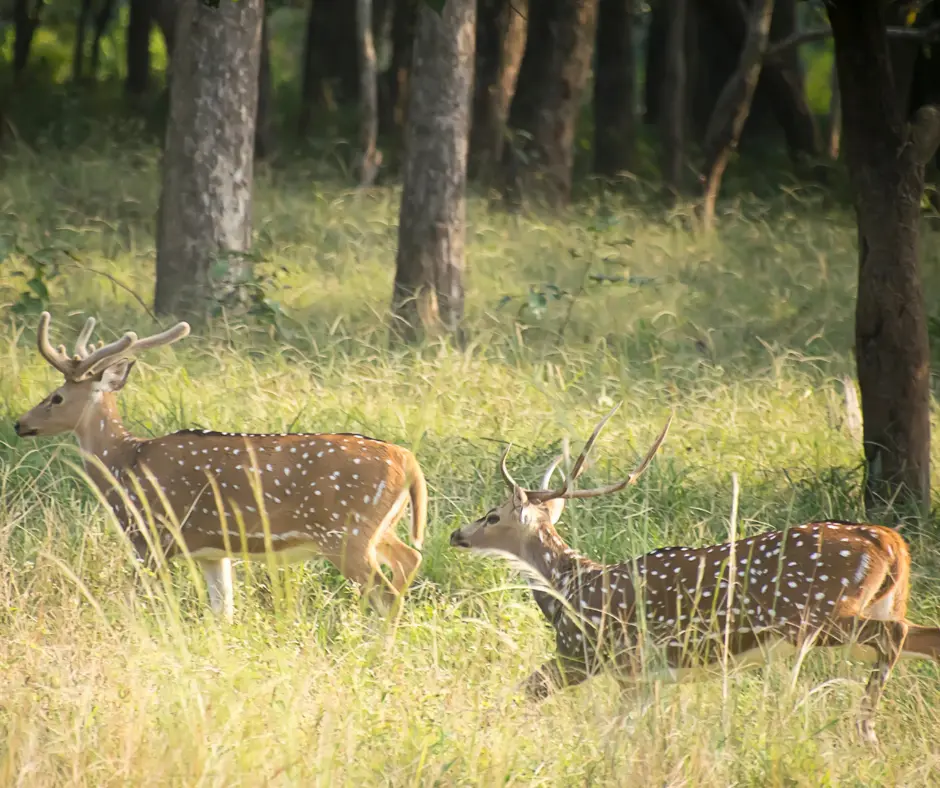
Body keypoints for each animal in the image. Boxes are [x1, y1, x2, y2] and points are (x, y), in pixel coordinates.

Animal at [13, 310, 430, 620]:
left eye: (56, 397)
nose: (20, 423)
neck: (124, 464)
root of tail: (407, 460)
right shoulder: (215, 551)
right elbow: (223, 613)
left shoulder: (152, 536)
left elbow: (142, 603)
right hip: (377, 527)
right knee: (410, 558)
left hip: (345, 531)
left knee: (385, 590)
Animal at [448, 406, 940, 744]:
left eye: (492, 516)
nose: (457, 534)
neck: (569, 590)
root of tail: (889, 541)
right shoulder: (642, 676)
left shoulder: (587, 652)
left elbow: (519, 694)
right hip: (874, 606)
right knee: (921, 636)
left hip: (818, 614)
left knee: (894, 634)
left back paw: (865, 728)